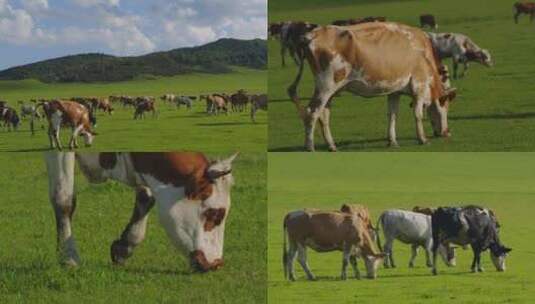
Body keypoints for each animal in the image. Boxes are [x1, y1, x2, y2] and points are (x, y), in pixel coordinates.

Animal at [45, 152, 238, 274]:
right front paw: (68, 256)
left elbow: (146, 198)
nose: (216, 264)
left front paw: (125, 246)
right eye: (214, 214)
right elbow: (63, 199)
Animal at [288, 22, 456, 152]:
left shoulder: (395, 90)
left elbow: (392, 115)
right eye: (445, 106)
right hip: (326, 86)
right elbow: (418, 114)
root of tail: (311, 35)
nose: (447, 132)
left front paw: (392, 141)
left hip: (331, 91)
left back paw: (331, 146)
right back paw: (310, 147)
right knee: (312, 112)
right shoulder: (419, 84)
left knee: (324, 115)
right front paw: (423, 139)